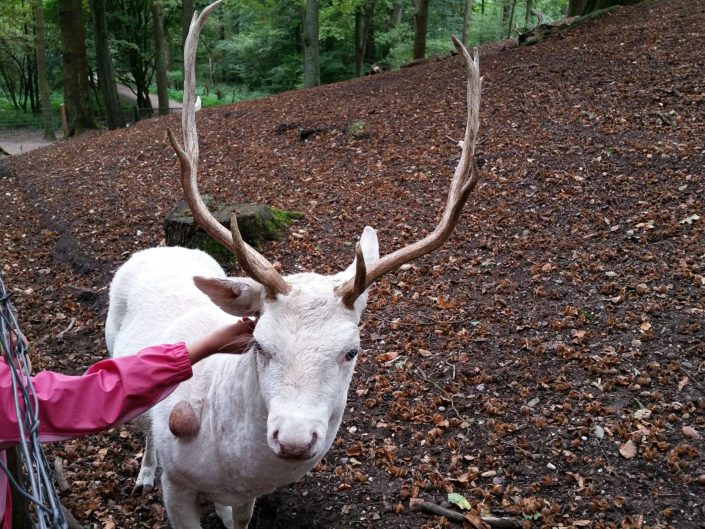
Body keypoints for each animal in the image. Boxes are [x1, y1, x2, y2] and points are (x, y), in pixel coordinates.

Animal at [105, 2, 483, 528]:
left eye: (352, 351)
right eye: (260, 346)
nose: (295, 439)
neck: (229, 468)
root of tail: (158, 247)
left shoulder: (244, 497)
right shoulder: (177, 486)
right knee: (141, 425)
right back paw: (142, 472)